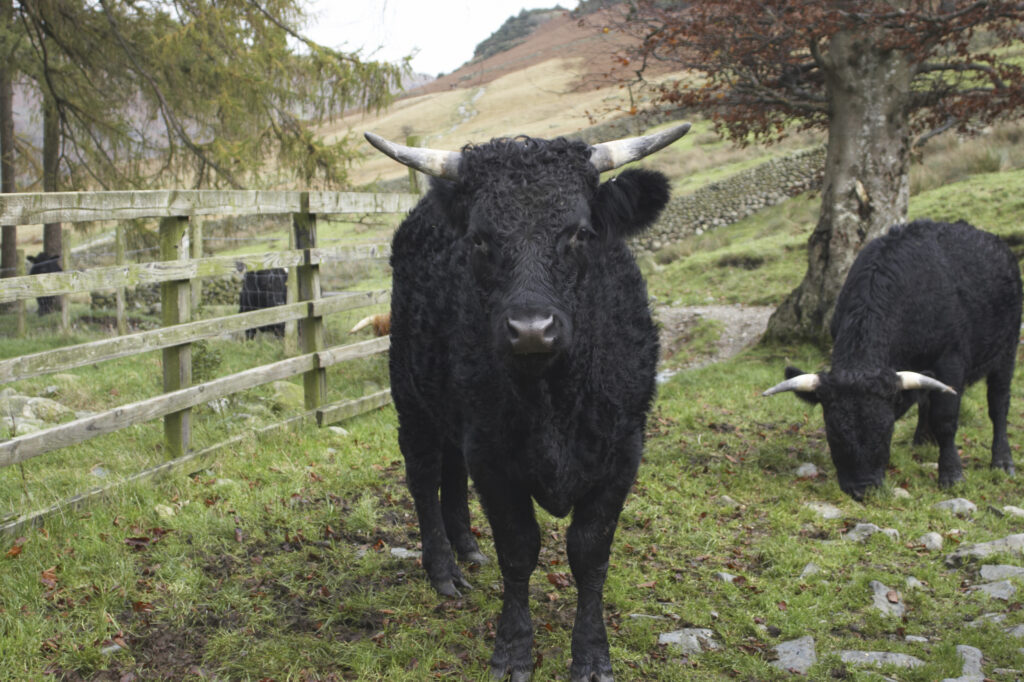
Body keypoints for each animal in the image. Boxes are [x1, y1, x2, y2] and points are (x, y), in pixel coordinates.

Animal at [365, 122, 690, 682]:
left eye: (580, 232)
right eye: (480, 239)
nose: (532, 329)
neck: (552, 399)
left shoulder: (623, 452)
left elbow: (589, 553)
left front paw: (592, 656)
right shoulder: (494, 458)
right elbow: (519, 550)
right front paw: (513, 651)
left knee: (451, 472)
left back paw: (468, 549)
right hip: (412, 398)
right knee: (424, 476)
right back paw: (444, 569)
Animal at [763, 219, 1022, 501]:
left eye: (886, 431)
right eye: (833, 431)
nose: (862, 489)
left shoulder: (950, 361)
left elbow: (946, 419)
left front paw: (951, 474)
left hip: (1006, 351)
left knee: (998, 404)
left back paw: (1002, 461)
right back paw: (923, 440)